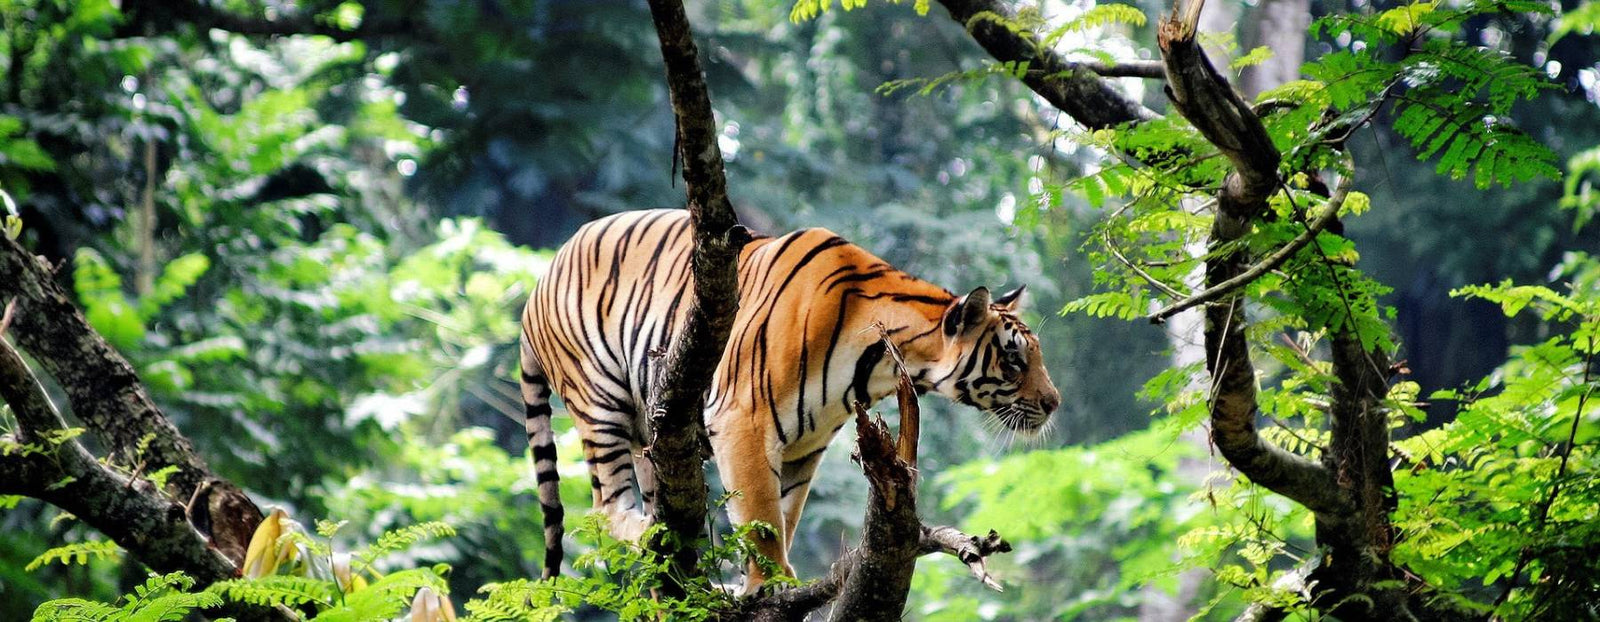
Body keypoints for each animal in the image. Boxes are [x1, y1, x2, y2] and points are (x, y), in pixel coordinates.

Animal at [518, 208, 1060, 588]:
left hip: (649, 434)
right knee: (604, 509)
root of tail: (538, 281)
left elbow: (785, 514)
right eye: (1015, 360)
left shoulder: (805, 446)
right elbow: (761, 517)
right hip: (599, 402)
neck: (880, 365)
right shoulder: (743, 420)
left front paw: (753, 582)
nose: (1054, 403)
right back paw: (653, 536)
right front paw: (768, 584)